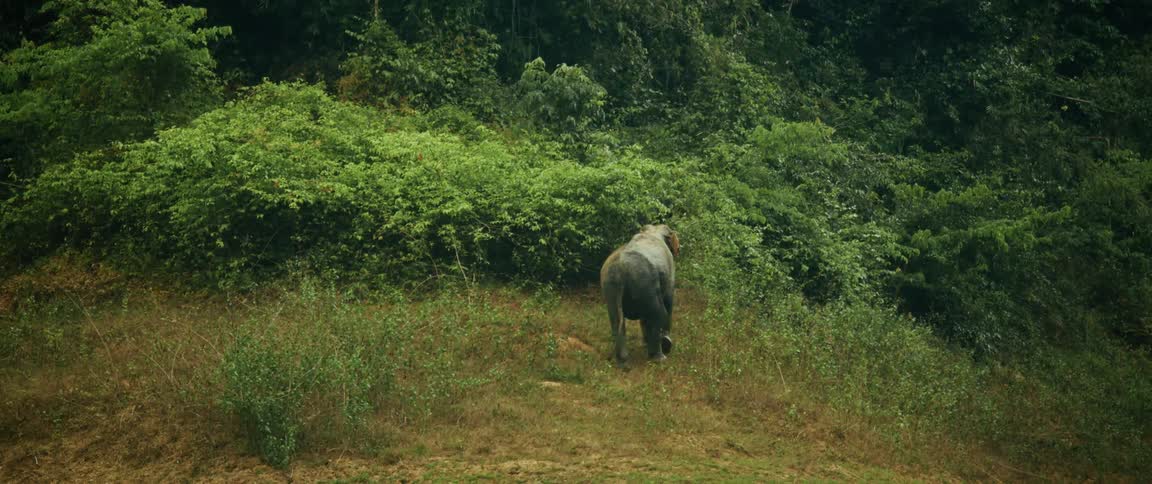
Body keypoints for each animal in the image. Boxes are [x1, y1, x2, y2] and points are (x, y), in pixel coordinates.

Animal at [600, 224, 679, 367]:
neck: (653, 230)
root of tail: (619, 269)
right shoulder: (670, 272)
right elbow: (669, 301)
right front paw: (666, 341)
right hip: (644, 282)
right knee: (659, 313)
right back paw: (660, 357)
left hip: (610, 286)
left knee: (615, 319)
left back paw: (622, 360)